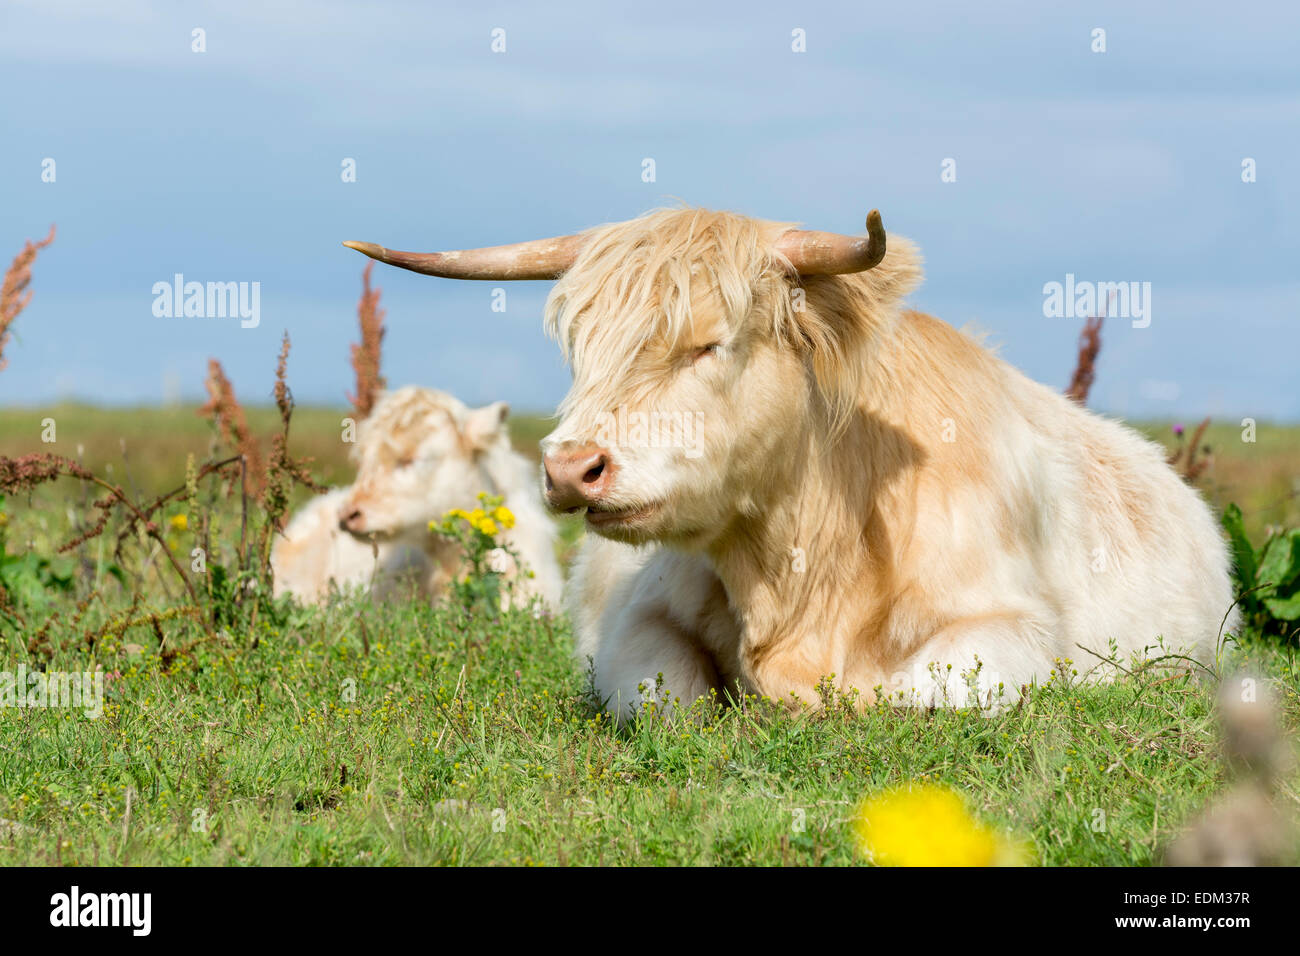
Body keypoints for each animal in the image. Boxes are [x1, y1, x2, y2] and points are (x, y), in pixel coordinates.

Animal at [348, 208, 1237, 717]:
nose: (571, 469)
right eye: (581, 350)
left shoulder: (1018, 632)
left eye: (710, 343)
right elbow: (672, 697)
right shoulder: (633, 623)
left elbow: (920, 692)